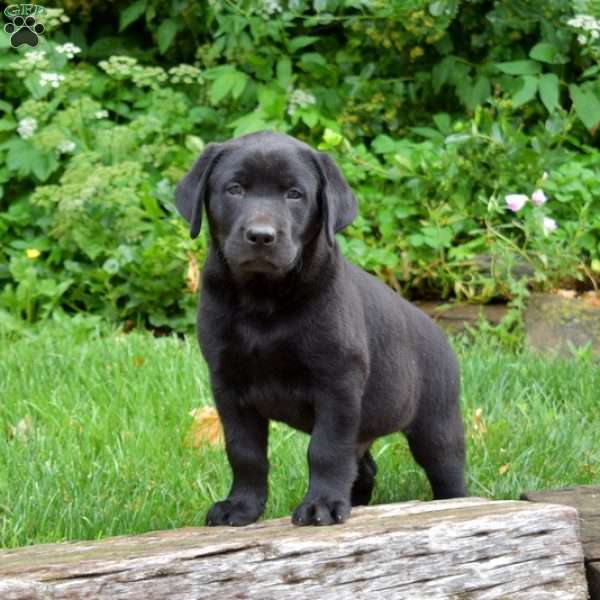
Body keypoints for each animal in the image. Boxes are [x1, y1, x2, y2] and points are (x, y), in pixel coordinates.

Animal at [176, 130, 466, 524]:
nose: (261, 236)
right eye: (234, 189)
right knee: (363, 467)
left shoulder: (338, 383)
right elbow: (244, 452)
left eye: (294, 194)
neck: (263, 299)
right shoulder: (227, 385)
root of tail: (439, 332)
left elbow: (325, 450)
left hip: (437, 422)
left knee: (448, 469)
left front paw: (321, 505)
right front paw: (241, 507)